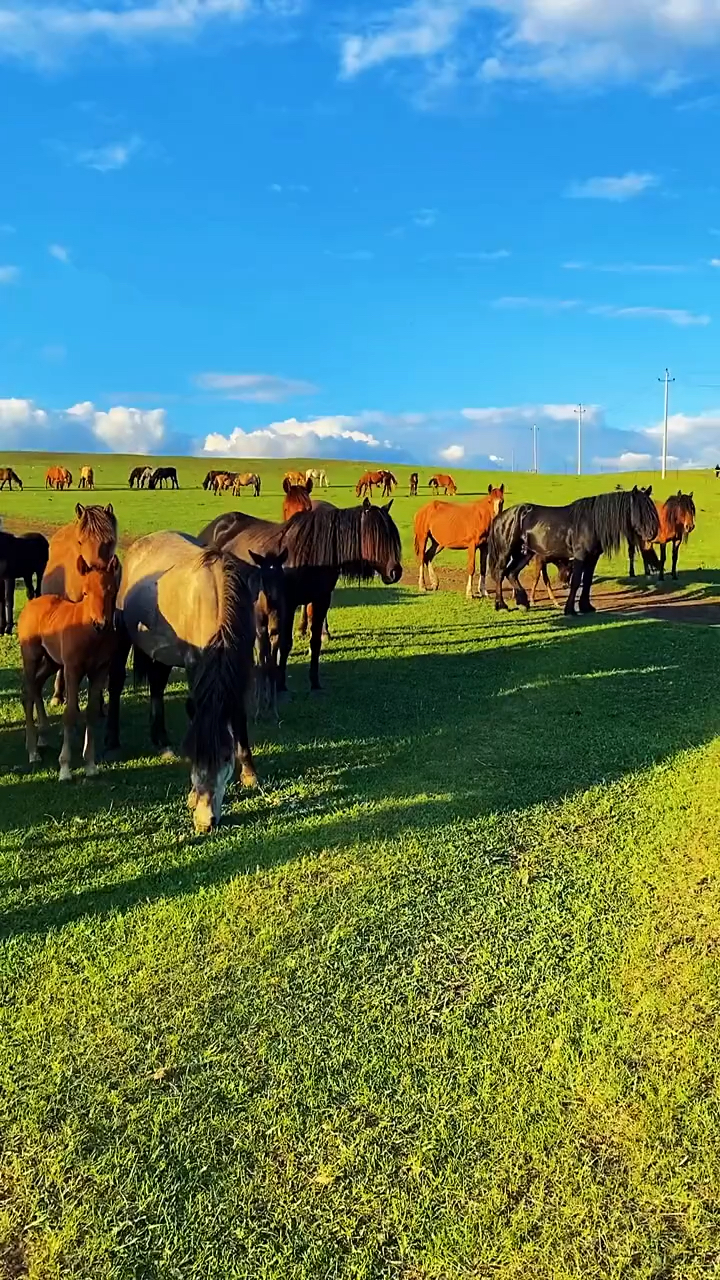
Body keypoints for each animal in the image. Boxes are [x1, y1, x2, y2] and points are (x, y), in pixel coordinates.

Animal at [17, 558, 119, 778]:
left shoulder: (100, 670)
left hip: (51, 661)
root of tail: (31, 604)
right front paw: (64, 768)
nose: (100, 623)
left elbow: (91, 712)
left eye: (111, 591)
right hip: (31, 657)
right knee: (28, 693)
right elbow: (70, 713)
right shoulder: (72, 670)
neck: (90, 635)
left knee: (36, 686)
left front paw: (90, 764)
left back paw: (43, 736)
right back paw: (33, 751)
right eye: (85, 592)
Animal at [104, 529, 283, 829]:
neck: (218, 599)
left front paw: (249, 773)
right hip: (122, 636)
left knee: (157, 686)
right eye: (193, 757)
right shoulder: (193, 664)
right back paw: (112, 741)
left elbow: (238, 718)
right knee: (116, 683)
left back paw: (161, 740)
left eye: (225, 758)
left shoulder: (241, 666)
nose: (205, 820)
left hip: (162, 653)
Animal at [199, 496, 404, 691]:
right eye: (376, 536)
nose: (396, 572)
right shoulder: (288, 604)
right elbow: (285, 643)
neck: (312, 554)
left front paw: (314, 681)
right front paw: (281, 683)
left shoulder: (321, 600)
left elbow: (315, 641)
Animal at [484, 483, 661, 614]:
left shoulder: (593, 557)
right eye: (641, 510)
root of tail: (501, 517)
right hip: (506, 552)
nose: (653, 533)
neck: (591, 522)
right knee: (500, 573)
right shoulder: (580, 556)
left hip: (525, 553)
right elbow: (576, 581)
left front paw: (586, 607)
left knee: (512, 573)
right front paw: (570, 609)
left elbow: (587, 581)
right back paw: (501, 605)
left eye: (652, 508)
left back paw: (523, 603)